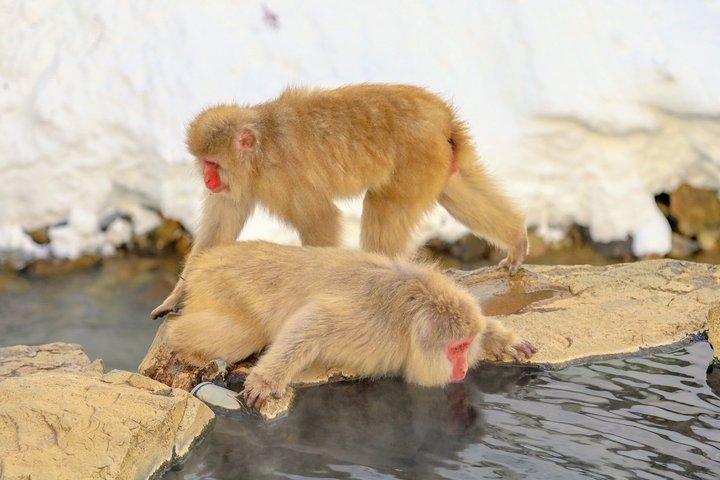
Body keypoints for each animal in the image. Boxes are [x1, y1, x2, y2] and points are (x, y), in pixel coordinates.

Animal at [151, 84, 528, 320]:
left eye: (213, 164)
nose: (208, 180)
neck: (261, 150)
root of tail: (441, 115)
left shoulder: (283, 175)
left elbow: (320, 219)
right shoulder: (237, 187)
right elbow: (219, 231)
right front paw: (178, 297)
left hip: (417, 159)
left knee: (384, 208)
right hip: (440, 160)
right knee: (457, 191)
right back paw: (516, 239)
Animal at [165, 241, 536, 410]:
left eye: (465, 346)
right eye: (456, 349)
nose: (461, 368)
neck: (410, 319)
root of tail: (205, 259)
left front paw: (502, 339)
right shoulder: (373, 323)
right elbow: (314, 319)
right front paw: (266, 380)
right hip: (220, 286)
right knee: (241, 334)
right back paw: (179, 339)